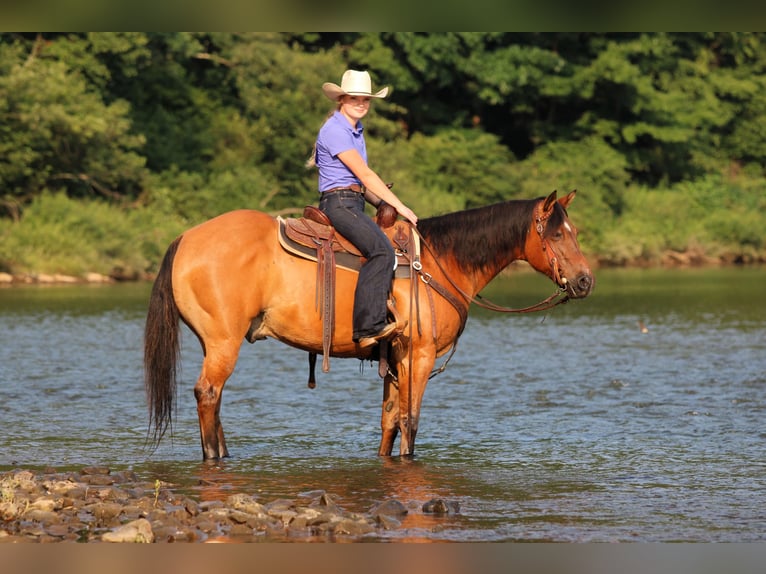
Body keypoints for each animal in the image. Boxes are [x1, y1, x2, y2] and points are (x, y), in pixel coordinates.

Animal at [144, 190, 594, 460]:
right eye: (557, 235)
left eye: (574, 230)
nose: (586, 280)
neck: (438, 264)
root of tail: (185, 238)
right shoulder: (419, 357)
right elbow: (411, 423)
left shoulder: (394, 362)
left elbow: (389, 422)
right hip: (224, 341)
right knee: (207, 393)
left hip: (214, 342)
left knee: (214, 398)